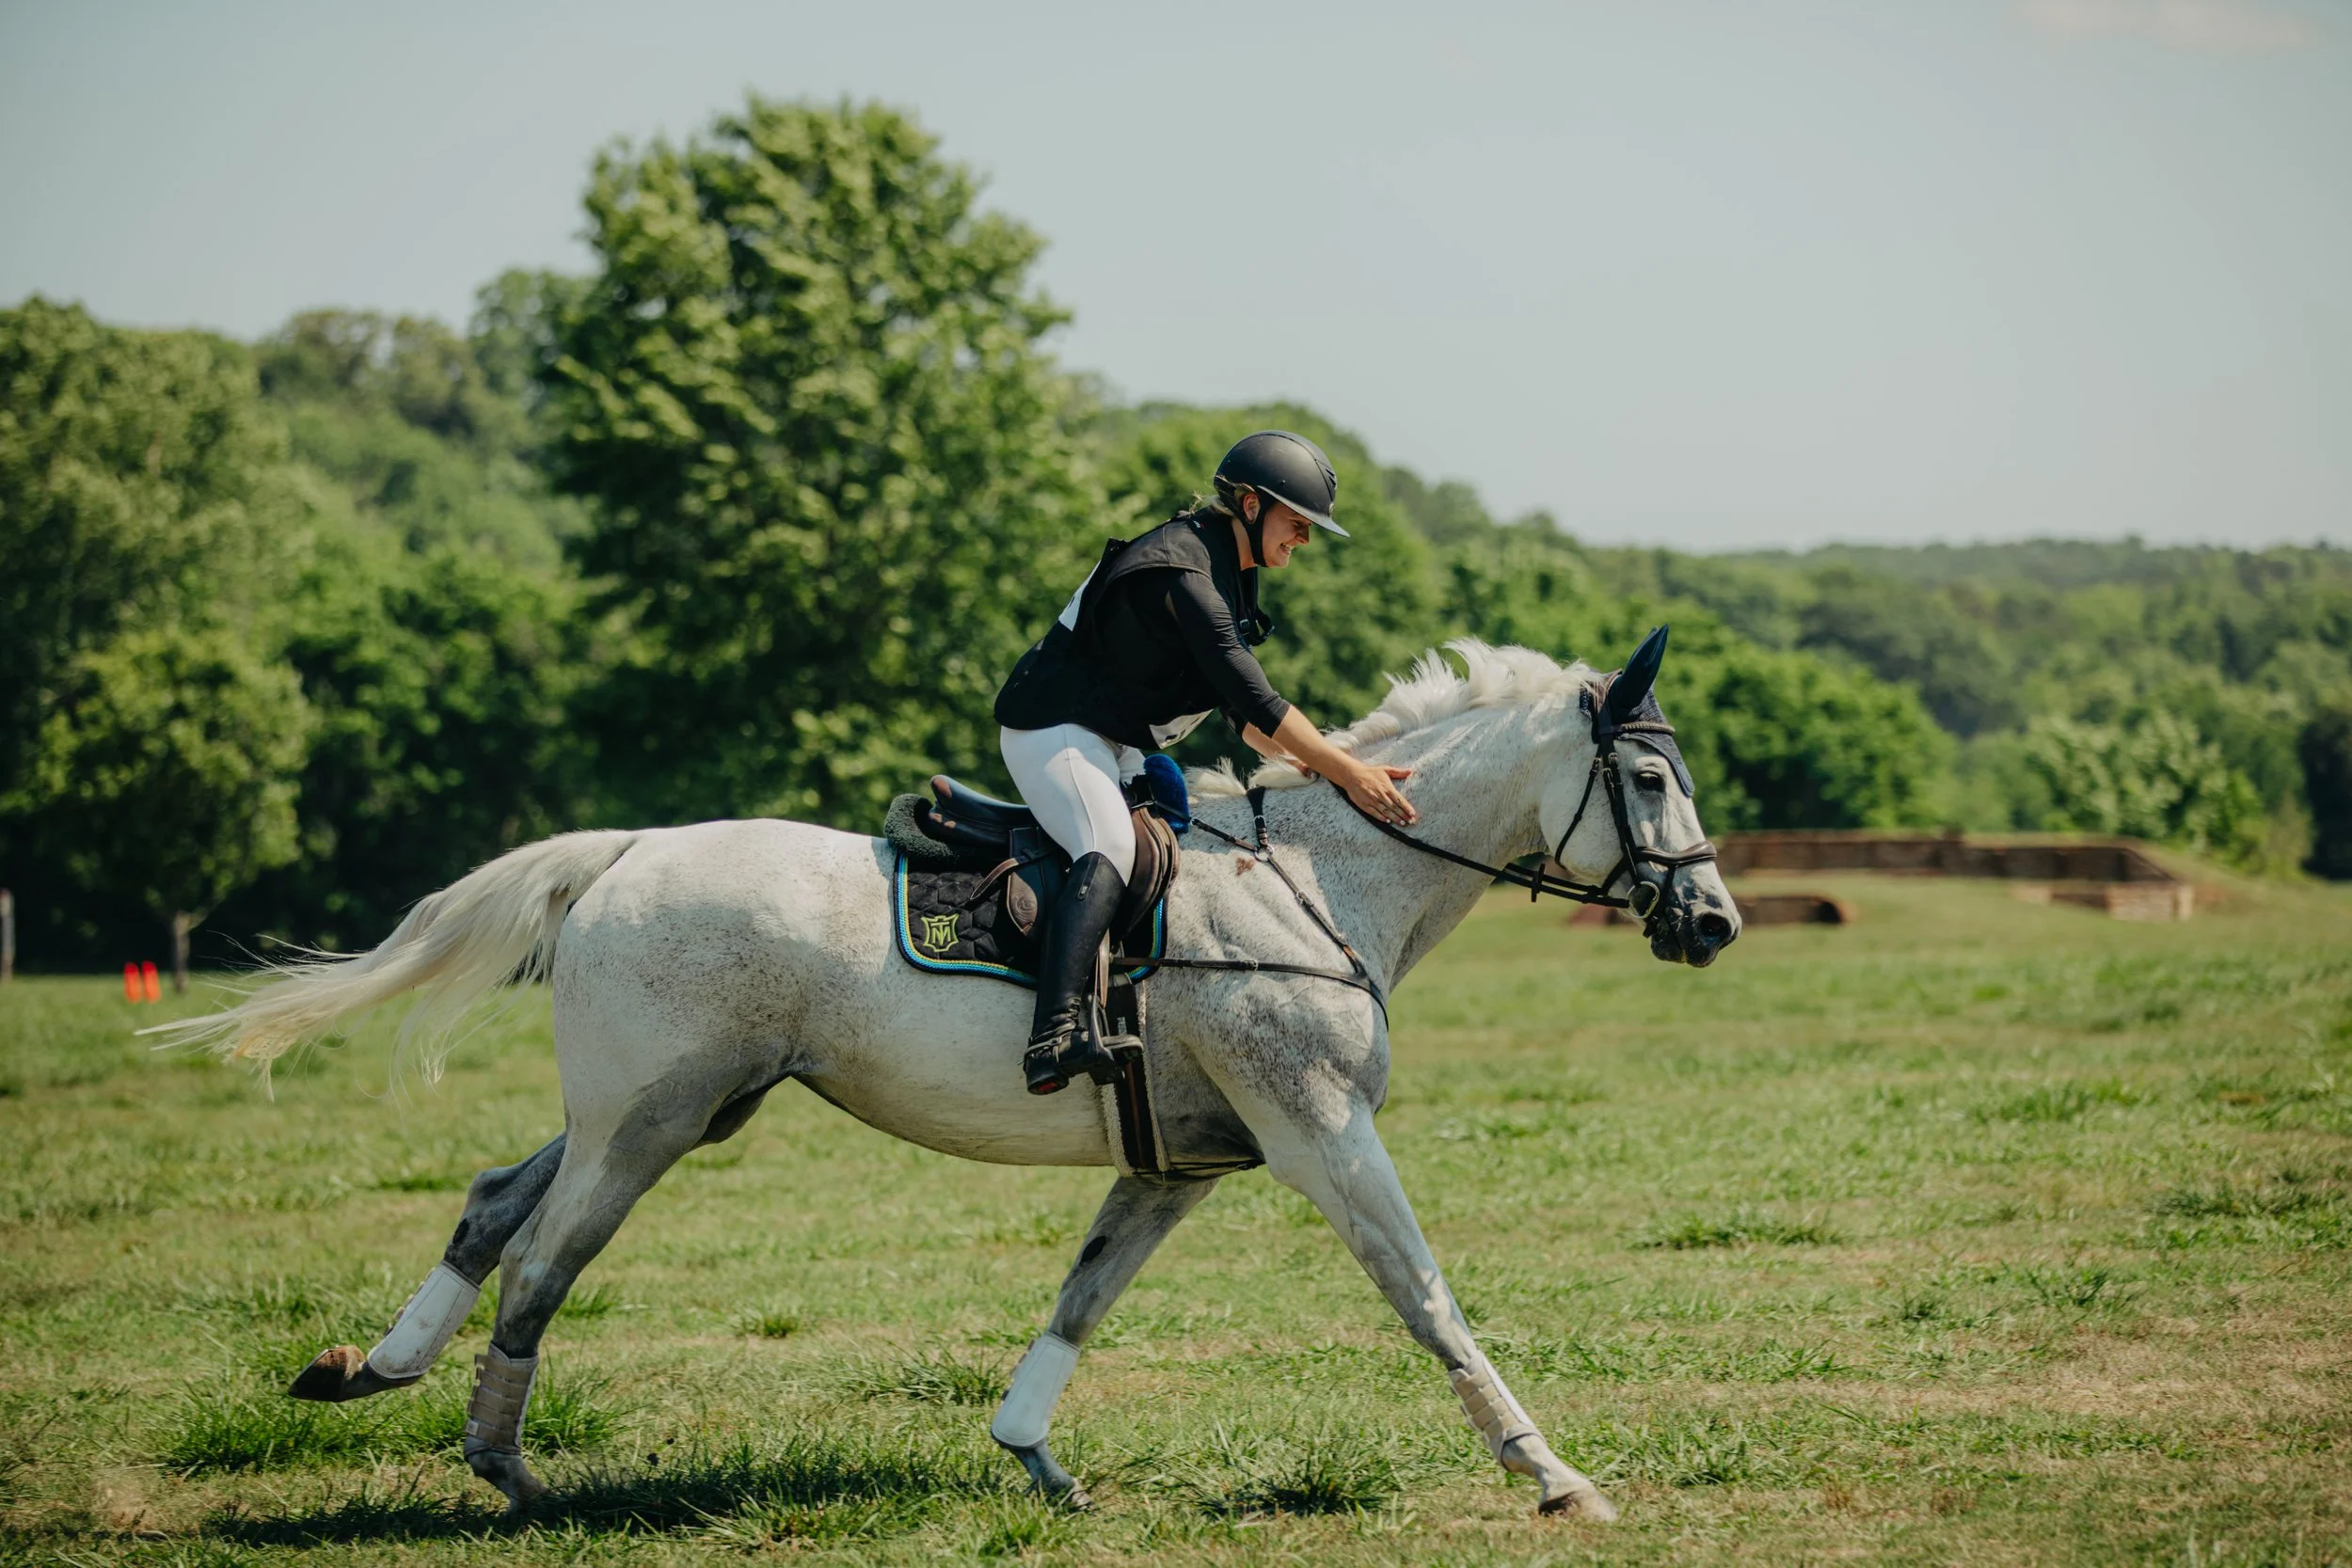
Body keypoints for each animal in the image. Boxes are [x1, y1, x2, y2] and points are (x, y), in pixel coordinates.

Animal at [153, 635, 1738, 1521]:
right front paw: (1552, 1470)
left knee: (493, 1200)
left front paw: (1033, 1456)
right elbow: (1428, 1297)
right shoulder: (1322, 1133)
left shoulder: (1179, 1164)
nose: (1715, 923)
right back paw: (509, 1472)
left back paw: (374, 1366)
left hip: (659, 1110)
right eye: (1652, 781)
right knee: (542, 1258)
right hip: (647, 1124)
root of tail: (628, 845)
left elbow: (1082, 1298)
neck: (1318, 880)